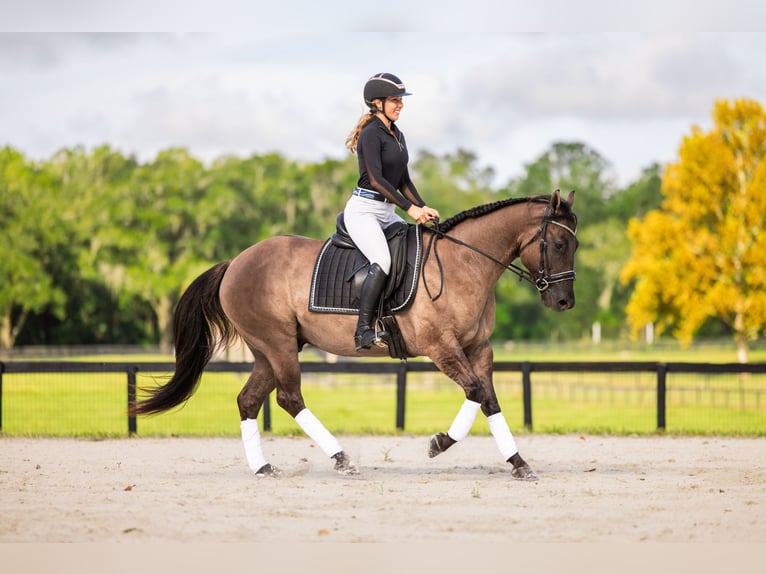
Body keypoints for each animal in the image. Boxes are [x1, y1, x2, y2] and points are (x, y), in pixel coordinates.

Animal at [131, 189, 578, 481]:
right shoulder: (442, 348)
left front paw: (518, 463)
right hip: (278, 346)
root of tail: (235, 262)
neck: (464, 262)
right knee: (289, 398)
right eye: (558, 242)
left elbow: (488, 399)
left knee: (249, 400)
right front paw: (438, 443)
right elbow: (475, 392)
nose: (564, 302)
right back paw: (342, 459)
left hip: (269, 351)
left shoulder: (478, 348)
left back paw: (263, 467)